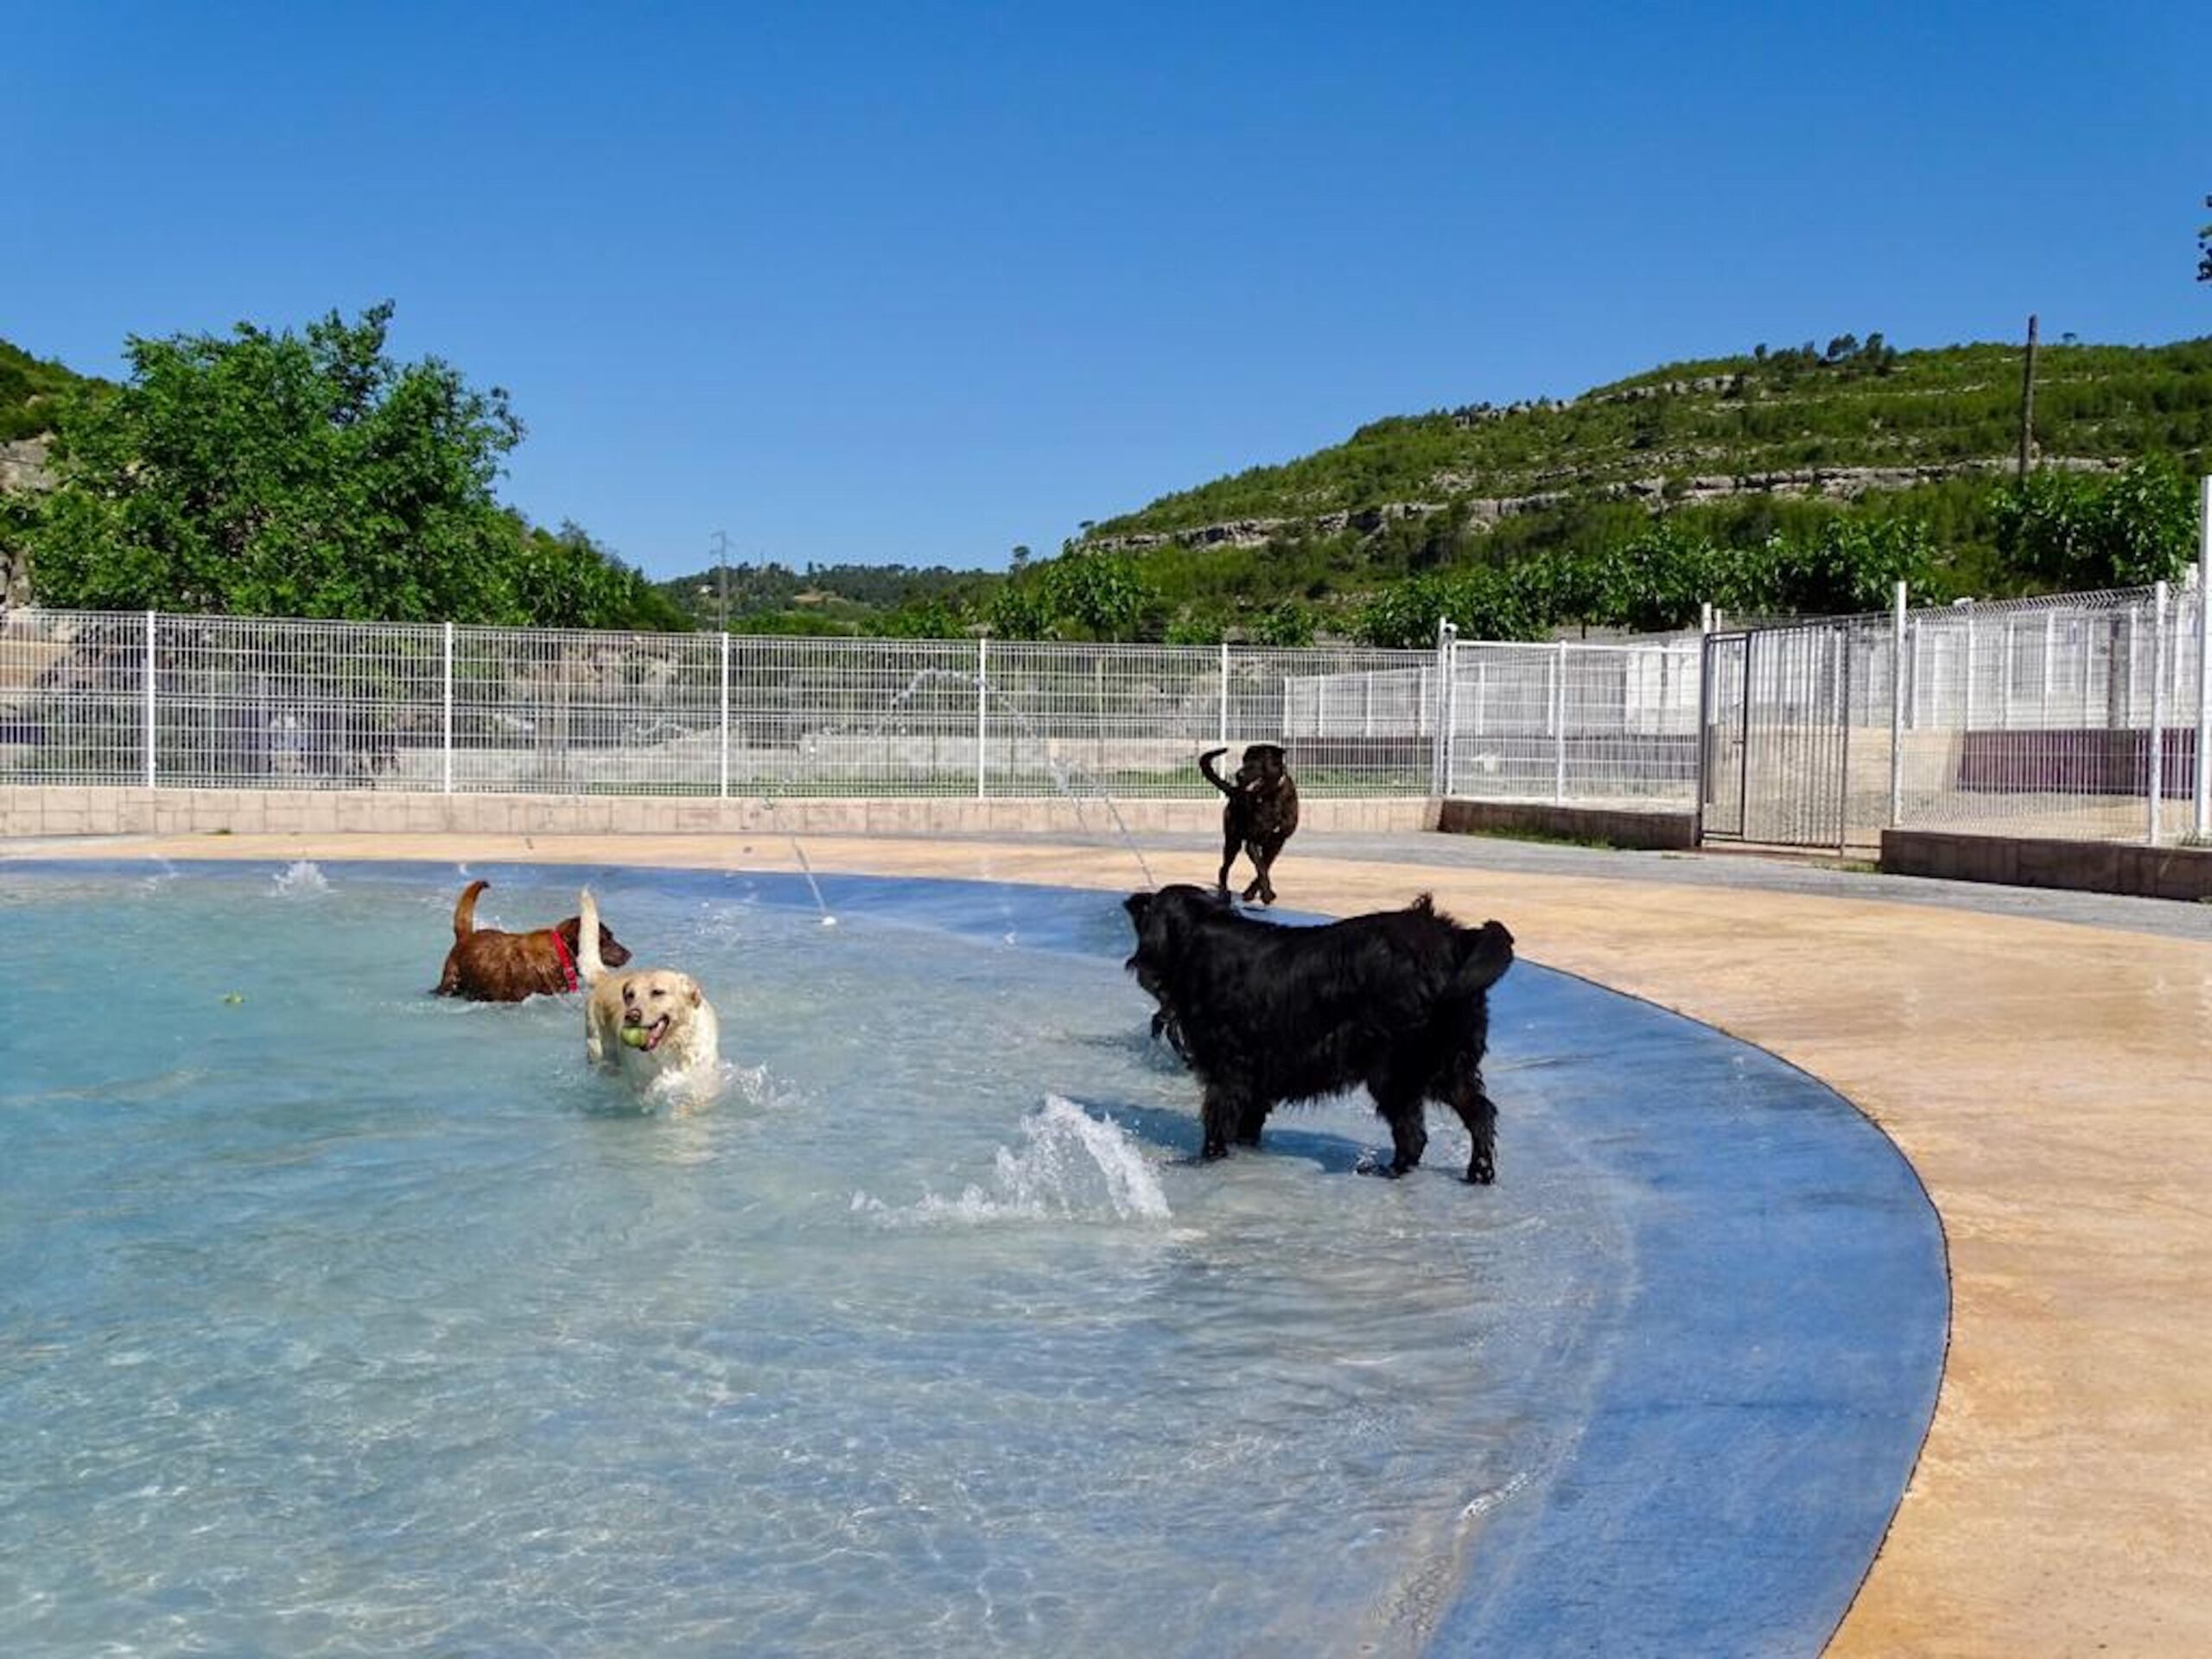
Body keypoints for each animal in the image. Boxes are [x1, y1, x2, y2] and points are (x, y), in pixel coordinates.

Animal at [575, 889, 721, 1096]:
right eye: (629, 995)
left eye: (658, 992)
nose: (632, 1016)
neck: (672, 1046)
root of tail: (606, 978)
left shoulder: (701, 1082)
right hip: (597, 1048)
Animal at [1123, 885, 1522, 1185]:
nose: (1133, 899)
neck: (1202, 935)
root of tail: (1453, 939)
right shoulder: (1256, 1076)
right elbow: (1247, 1122)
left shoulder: (1228, 1069)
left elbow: (1217, 1122)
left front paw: (1205, 1160)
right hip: (1448, 1064)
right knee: (1480, 1113)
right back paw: (1478, 1172)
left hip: (1395, 1068)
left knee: (1413, 1133)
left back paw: (1389, 1171)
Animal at [1203, 752, 1300, 911]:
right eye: (1245, 760)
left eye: (1258, 760)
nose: (1239, 775)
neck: (1272, 795)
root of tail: (1235, 790)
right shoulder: (1252, 842)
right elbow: (1261, 868)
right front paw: (1265, 894)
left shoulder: (1277, 842)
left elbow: (1265, 866)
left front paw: (1256, 893)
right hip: (1233, 841)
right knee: (1224, 868)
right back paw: (1223, 894)